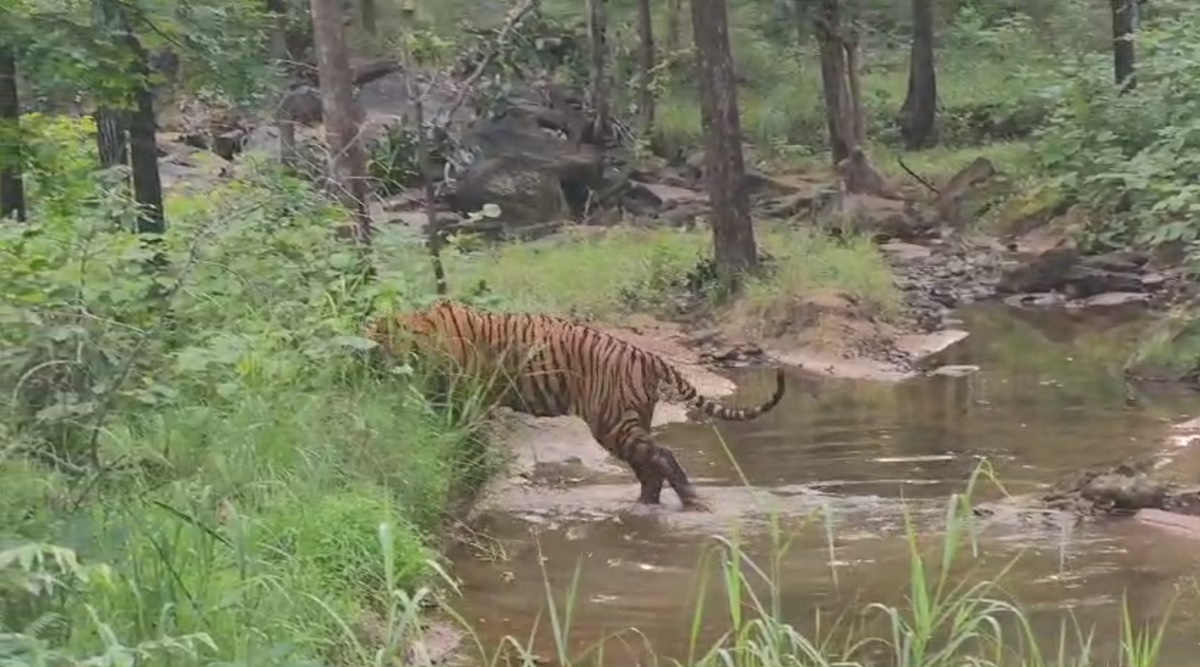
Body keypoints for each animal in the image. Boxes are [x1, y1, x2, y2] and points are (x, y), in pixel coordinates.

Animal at [365, 300, 787, 512]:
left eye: (372, 338)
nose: (361, 358)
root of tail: (648, 355)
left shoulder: (467, 398)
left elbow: (467, 437)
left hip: (612, 422)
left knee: (662, 456)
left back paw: (691, 501)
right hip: (627, 423)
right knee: (649, 467)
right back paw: (644, 506)